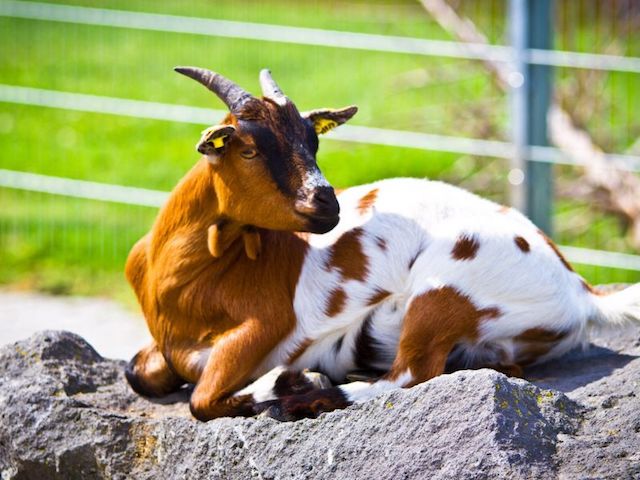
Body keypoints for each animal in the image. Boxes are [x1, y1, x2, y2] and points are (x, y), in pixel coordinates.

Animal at [125, 66, 640, 420]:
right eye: (248, 148)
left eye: (313, 142)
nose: (327, 203)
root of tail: (578, 289)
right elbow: (138, 372)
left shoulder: (260, 331)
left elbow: (202, 400)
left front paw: (285, 382)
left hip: (442, 289)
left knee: (410, 375)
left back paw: (303, 389)